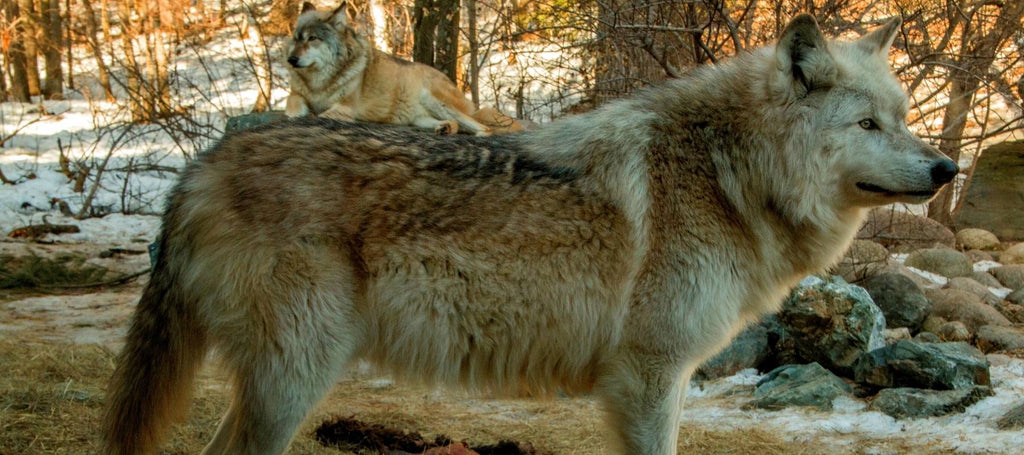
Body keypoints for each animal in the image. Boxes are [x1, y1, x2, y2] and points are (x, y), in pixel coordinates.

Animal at [284, 3, 516, 135]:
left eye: (312, 38)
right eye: (296, 38)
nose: (291, 59)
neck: (320, 81)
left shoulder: (346, 107)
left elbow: (319, 116)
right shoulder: (297, 94)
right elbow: (292, 105)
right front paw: (299, 113)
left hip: (434, 100)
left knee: (486, 129)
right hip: (418, 118)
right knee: (454, 124)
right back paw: (445, 128)